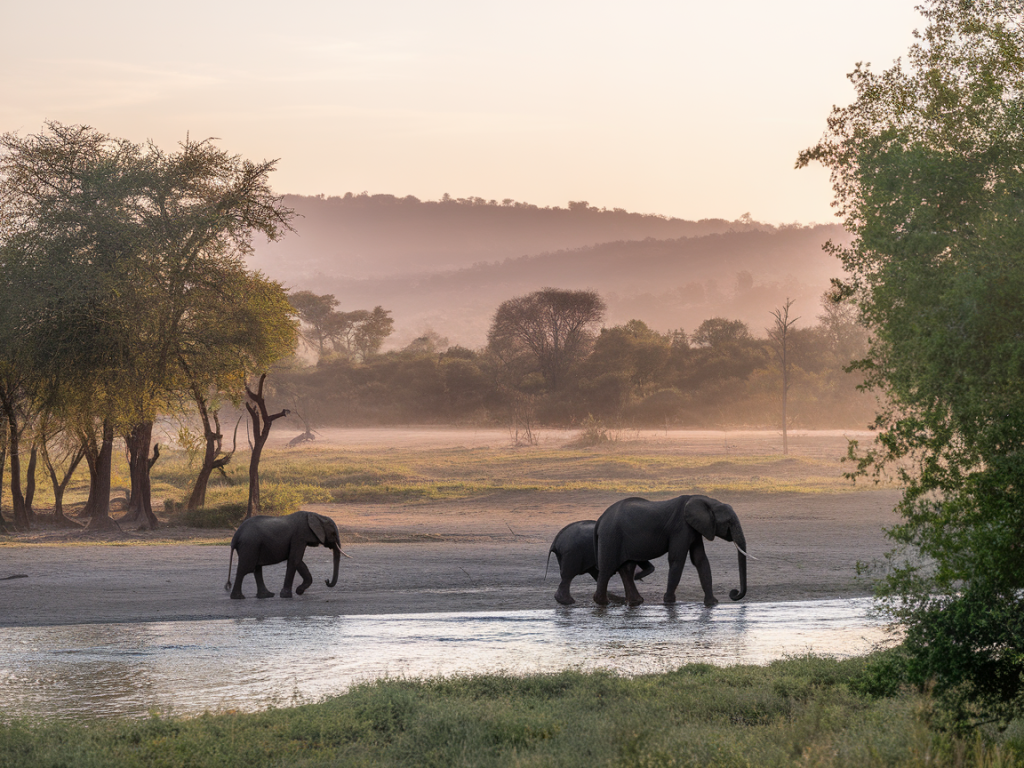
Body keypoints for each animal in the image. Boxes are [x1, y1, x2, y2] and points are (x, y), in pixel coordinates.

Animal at [589, 495, 749, 610]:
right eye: (729, 522)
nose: (733, 593)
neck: (706, 500)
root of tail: (601, 519)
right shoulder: (681, 528)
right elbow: (677, 559)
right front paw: (670, 603)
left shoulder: (695, 528)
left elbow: (700, 560)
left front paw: (712, 604)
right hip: (611, 537)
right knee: (607, 568)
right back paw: (603, 604)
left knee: (627, 568)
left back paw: (635, 602)